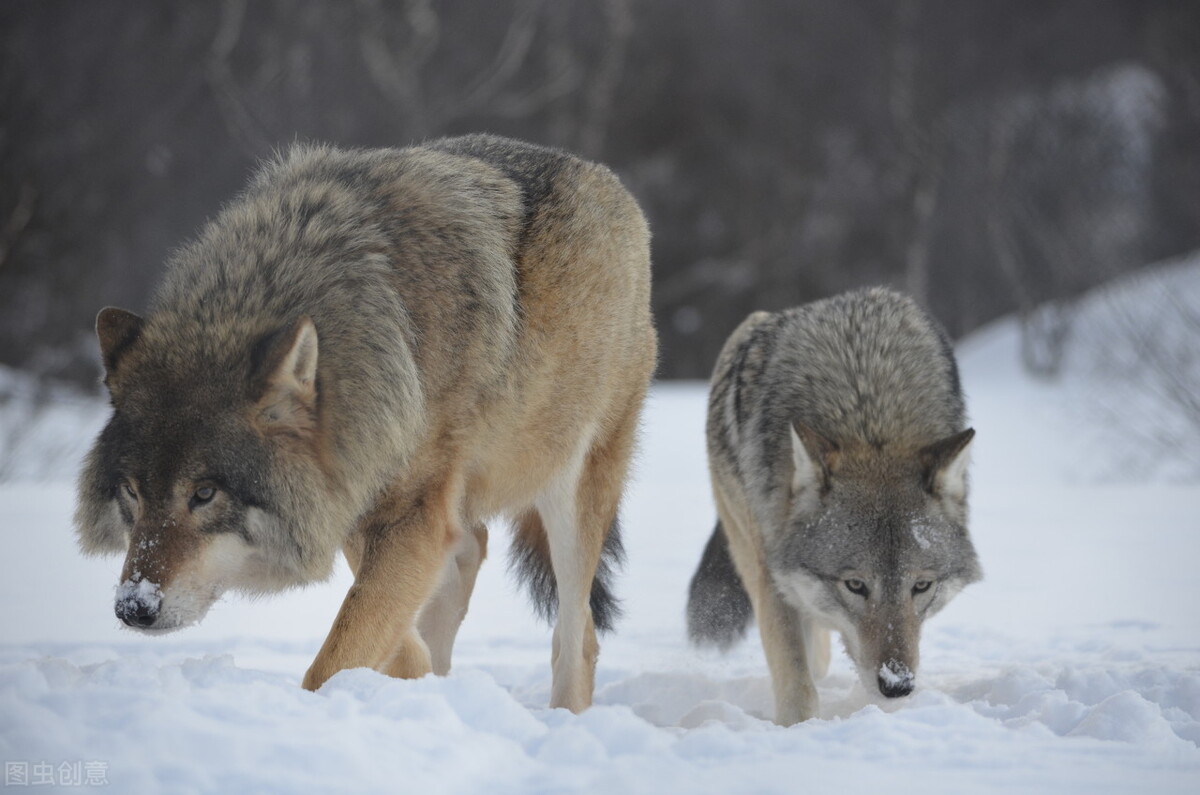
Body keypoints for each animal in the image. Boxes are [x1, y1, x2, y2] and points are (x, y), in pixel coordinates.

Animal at [75, 133, 657, 710]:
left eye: (204, 494)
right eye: (131, 492)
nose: (134, 607)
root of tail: (609, 182)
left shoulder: (407, 515)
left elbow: (336, 657)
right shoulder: (358, 496)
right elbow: (389, 630)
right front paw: (417, 681)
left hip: (571, 488)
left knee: (577, 637)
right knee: (471, 551)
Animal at [691, 288, 979, 730]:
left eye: (921, 586)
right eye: (856, 585)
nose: (897, 685)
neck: (868, 412)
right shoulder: (773, 577)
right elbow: (797, 682)